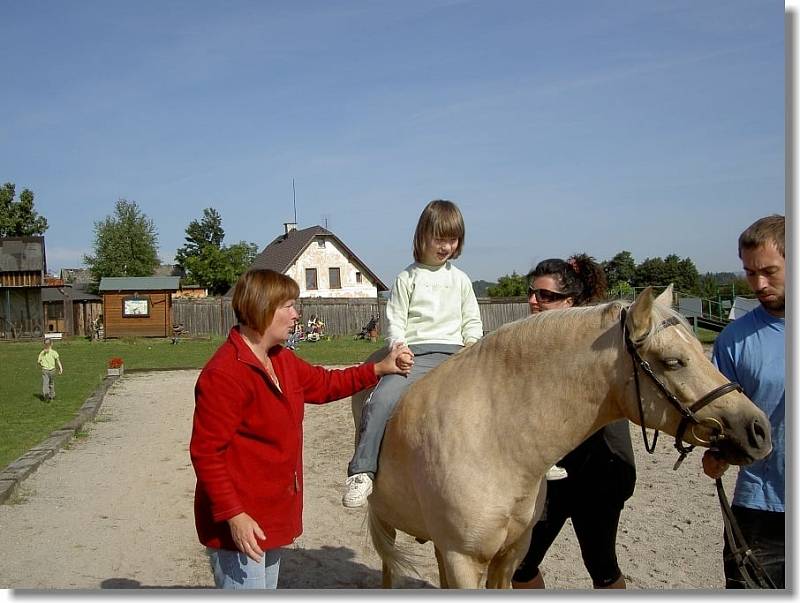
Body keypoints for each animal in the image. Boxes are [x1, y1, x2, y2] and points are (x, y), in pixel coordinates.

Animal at [354, 288, 772, 588]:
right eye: (673, 362)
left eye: (700, 351)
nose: (758, 430)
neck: (494, 436)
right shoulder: (463, 560)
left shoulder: (508, 555)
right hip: (388, 525)